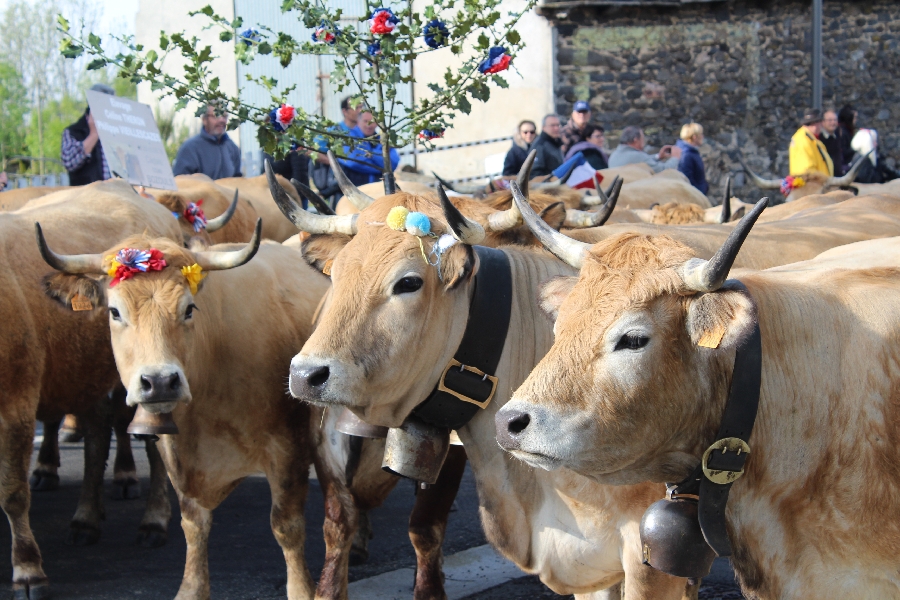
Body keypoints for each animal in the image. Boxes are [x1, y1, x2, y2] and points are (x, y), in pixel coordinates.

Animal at [0, 180, 185, 596]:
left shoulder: (16, 408)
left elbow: (14, 493)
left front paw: (27, 569)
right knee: (98, 433)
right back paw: (86, 517)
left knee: (150, 443)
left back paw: (153, 520)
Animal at [34, 223, 334, 596]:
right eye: (114, 312)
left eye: (189, 309)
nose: (160, 381)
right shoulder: (175, 453)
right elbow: (194, 525)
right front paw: (192, 589)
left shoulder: (287, 450)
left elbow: (286, 525)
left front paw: (302, 590)